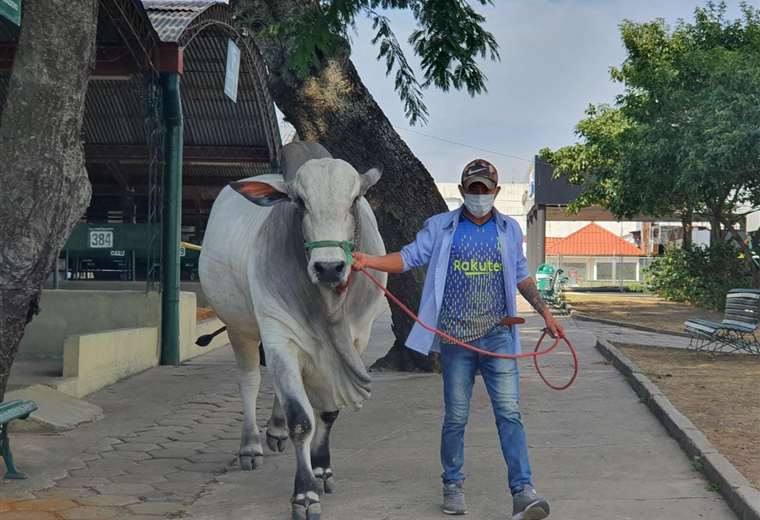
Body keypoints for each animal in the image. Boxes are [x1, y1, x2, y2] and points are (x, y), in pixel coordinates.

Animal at [199, 142, 386, 520]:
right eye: (299, 201)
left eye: (355, 198)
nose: (329, 267)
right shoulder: (279, 336)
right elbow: (301, 419)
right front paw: (304, 494)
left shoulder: (356, 341)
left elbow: (327, 411)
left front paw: (322, 468)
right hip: (241, 328)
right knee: (251, 381)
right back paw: (251, 446)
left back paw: (275, 430)